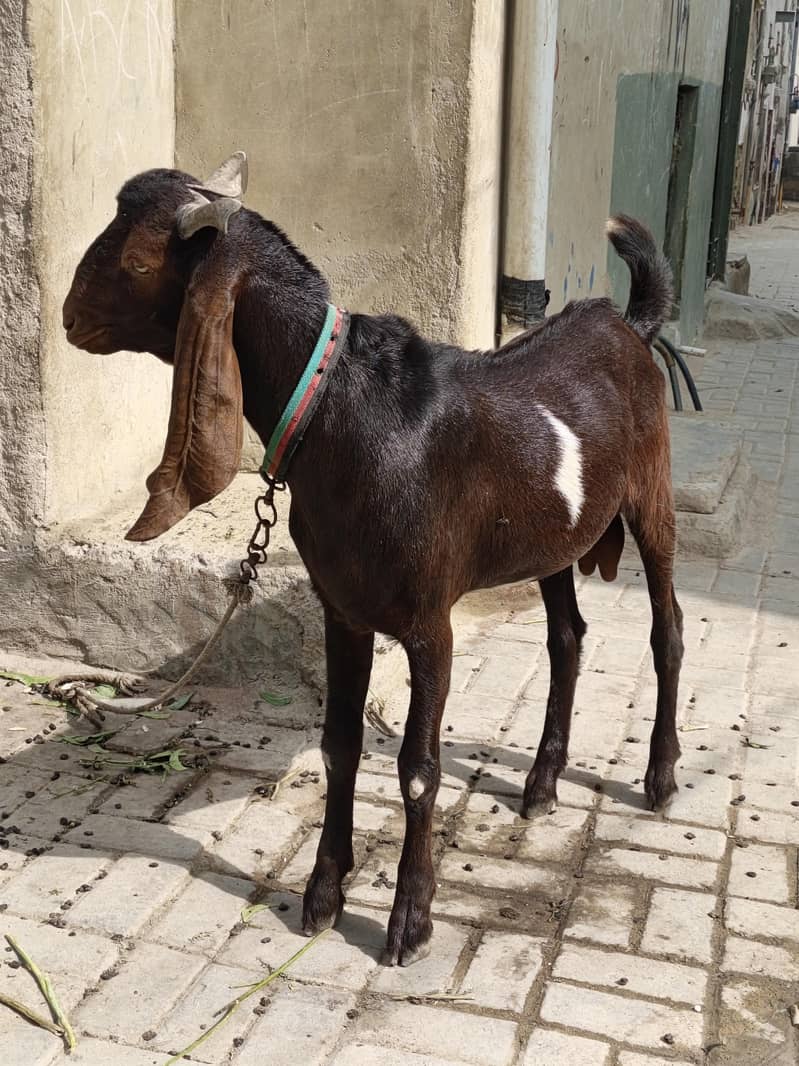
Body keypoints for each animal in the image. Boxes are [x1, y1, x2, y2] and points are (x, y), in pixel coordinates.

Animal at [63, 153, 683, 966]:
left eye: (137, 261)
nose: (69, 317)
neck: (342, 411)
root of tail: (628, 324)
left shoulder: (429, 622)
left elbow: (418, 771)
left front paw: (409, 922)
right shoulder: (344, 610)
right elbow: (340, 746)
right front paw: (323, 896)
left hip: (652, 494)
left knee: (666, 629)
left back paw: (660, 777)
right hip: (555, 539)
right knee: (566, 637)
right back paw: (543, 784)